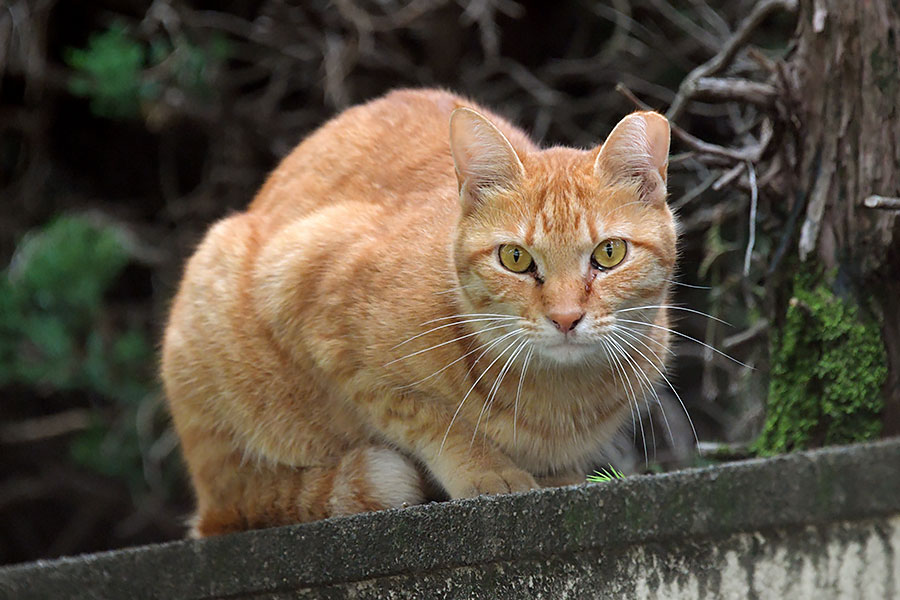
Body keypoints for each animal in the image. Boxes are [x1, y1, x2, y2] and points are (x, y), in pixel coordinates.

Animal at [160, 89, 676, 540]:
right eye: (515, 258)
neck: (558, 399)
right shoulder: (314, 304)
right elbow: (431, 419)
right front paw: (487, 471)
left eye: (609, 253)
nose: (566, 318)